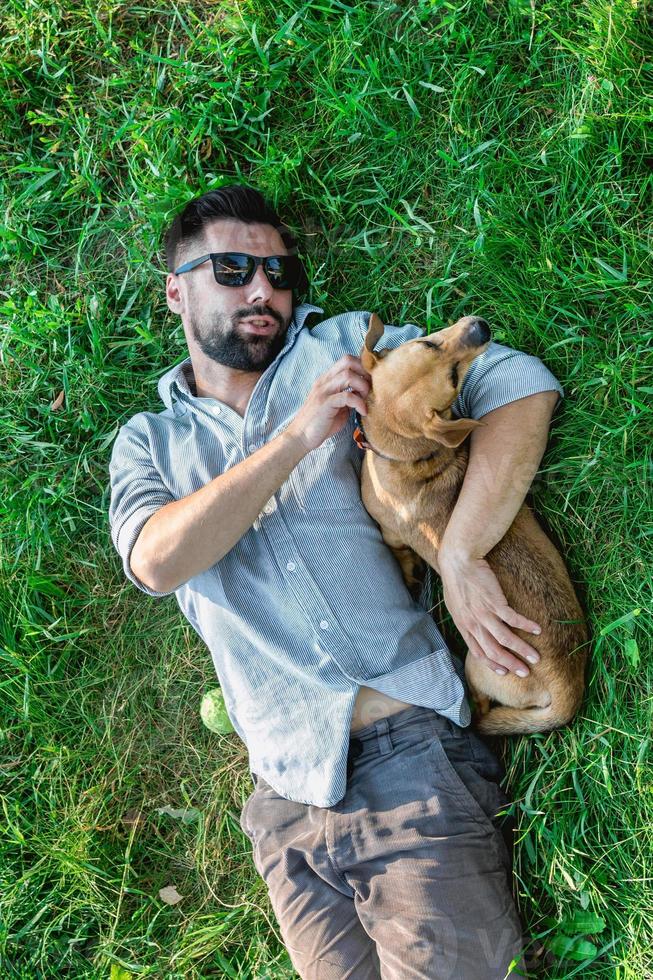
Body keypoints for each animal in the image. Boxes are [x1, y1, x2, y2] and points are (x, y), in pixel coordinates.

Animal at [360, 314, 588, 736]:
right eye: (451, 376)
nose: (480, 327)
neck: (410, 455)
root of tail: (569, 689)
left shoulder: (390, 535)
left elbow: (399, 553)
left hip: (478, 663)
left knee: (482, 705)